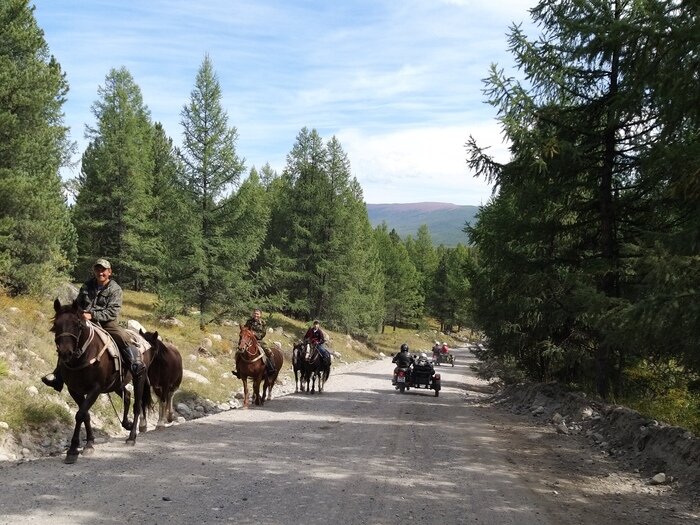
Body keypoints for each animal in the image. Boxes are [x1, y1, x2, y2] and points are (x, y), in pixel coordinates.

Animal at [50, 298, 152, 462]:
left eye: (77, 325)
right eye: (56, 324)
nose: (65, 352)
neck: (83, 356)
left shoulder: (95, 389)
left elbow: (80, 414)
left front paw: (73, 450)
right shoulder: (75, 390)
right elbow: (85, 414)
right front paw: (89, 443)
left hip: (139, 377)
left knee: (137, 405)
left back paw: (131, 437)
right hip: (117, 384)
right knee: (127, 396)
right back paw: (127, 424)